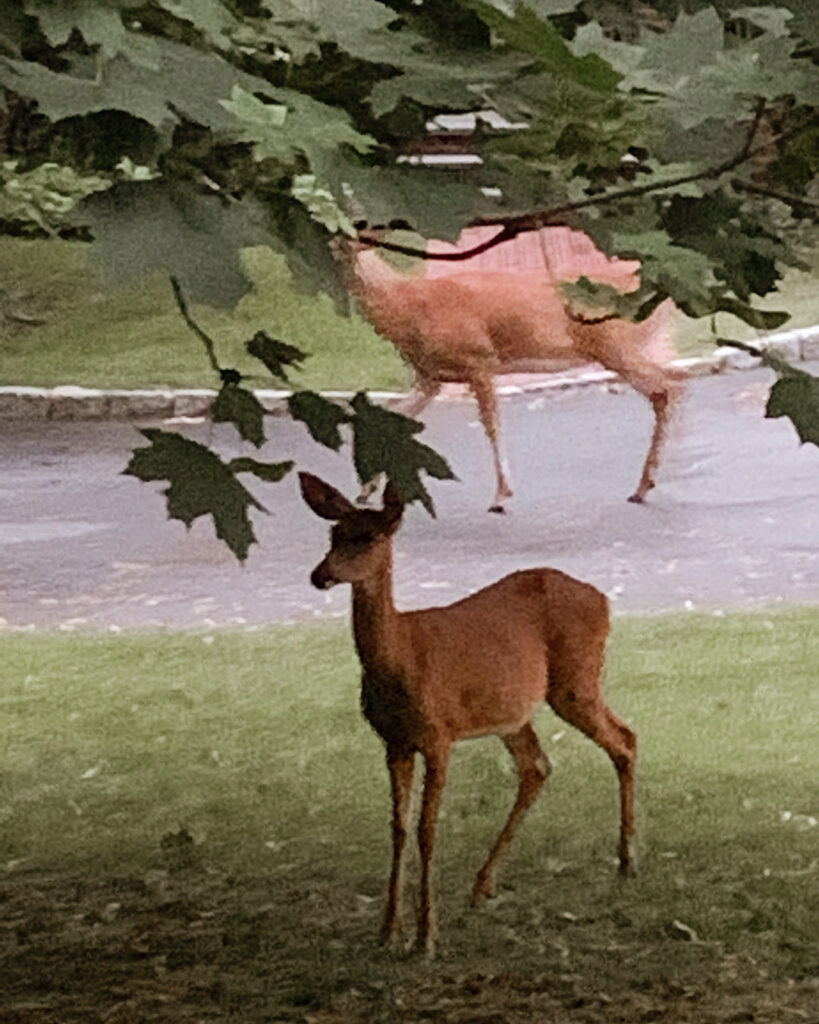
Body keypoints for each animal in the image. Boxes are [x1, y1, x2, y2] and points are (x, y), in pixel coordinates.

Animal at [296, 468, 634, 954]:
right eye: (333, 534)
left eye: (370, 536)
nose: (319, 575)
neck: (400, 657)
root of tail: (605, 599)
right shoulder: (393, 741)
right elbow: (398, 828)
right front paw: (388, 930)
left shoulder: (440, 734)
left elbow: (426, 829)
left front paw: (426, 938)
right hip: (514, 711)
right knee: (538, 766)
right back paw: (482, 885)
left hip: (576, 680)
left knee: (624, 739)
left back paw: (627, 861)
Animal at [341, 226, 687, 509]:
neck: (410, 307)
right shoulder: (429, 377)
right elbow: (392, 414)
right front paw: (365, 490)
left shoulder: (478, 361)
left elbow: (492, 426)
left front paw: (501, 495)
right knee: (672, 383)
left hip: (614, 346)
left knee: (666, 388)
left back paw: (643, 487)